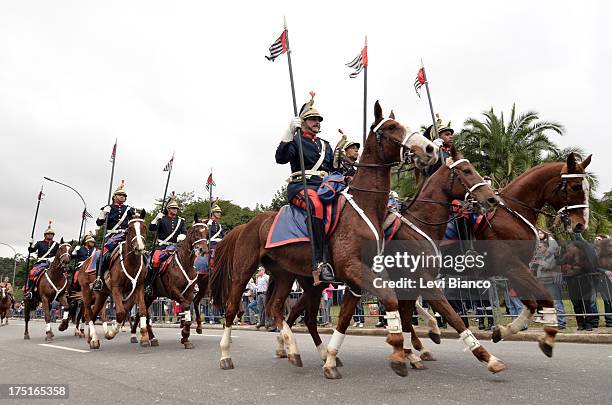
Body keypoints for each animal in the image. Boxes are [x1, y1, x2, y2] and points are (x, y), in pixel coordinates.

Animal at [78, 211, 148, 348]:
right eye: (130, 229)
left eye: (144, 227)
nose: (140, 248)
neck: (131, 262)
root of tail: (84, 263)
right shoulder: (116, 288)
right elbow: (120, 313)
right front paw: (110, 333)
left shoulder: (139, 287)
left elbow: (141, 310)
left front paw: (144, 336)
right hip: (86, 292)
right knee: (88, 314)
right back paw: (94, 339)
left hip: (102, 294)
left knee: (94, 314)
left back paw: (91, 338)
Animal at [126, 215, 208, 348]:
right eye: (196, 231)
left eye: (206, 232)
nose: (203, 249)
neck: (185, 263)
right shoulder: (173, 291)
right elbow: (186, 307)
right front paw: (185, 333)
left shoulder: (189, 292)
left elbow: (188, 310)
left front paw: (185, 338)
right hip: (145, 295)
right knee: (144, 314)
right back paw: (146, 337)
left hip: (150, 297)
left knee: (141, 313)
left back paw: (145, 337)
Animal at [210, 99, 440, 378]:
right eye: (392, 127)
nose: (430, 149)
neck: (365, 207)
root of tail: (247, 224)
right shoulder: (352, 268)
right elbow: (389, 299)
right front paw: (398, 350)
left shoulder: (360, 276)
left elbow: (349, 316)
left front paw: (331, 359)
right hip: (243, 271)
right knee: (233, 307)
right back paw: (226, 354)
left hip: (286, 274)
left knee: (277, 308)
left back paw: (294, 349)